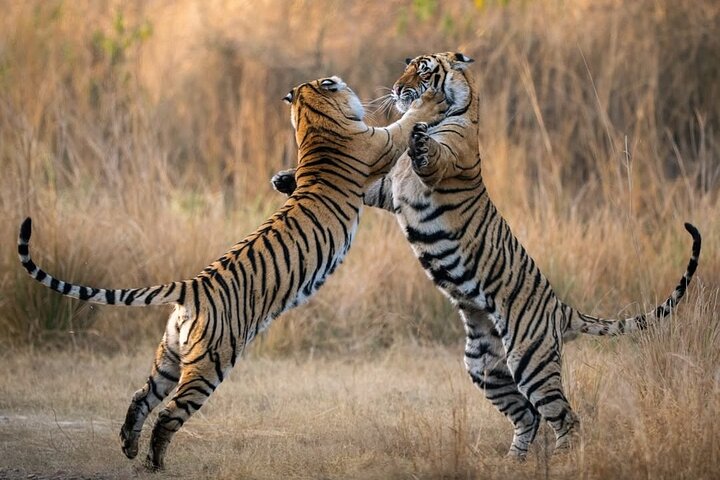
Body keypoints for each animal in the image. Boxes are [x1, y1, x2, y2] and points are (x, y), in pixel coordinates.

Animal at [17, 75, 446, 470]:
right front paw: (428, 102)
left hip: (169, 357)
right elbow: (404, 125)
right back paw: (154, 463)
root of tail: (191, 287)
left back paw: (128, 446)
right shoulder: (379, 145)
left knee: (141, 397)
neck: (312, 121)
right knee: (168, 414)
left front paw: (283, 178)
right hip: (210, 364)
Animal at [271, 52, 702, 458]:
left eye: (422, 70)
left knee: (564, 417)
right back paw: (514, 461)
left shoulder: (435, 167)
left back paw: (563, 460)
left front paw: (420, 134)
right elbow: (372, 183)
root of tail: (561, 308)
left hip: (530, 359)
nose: (396, 89)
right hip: (484, 365)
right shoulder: (391, 189)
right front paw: (284, 178)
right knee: (527, 415)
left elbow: (428, 152)